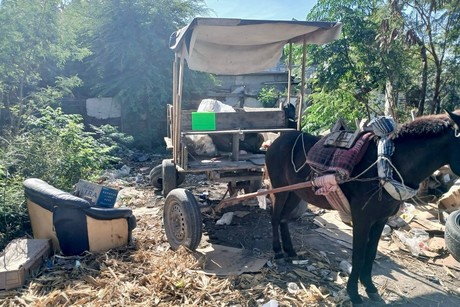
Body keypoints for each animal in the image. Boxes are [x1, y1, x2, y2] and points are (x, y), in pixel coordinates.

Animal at [264, 111, 460, 306]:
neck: (387, 164)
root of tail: (276, 141)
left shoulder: (381, 219)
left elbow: (371, 253)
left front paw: (370, 287)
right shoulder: (362, 218)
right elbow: (358, 255)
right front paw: (354, 293)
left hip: (295, 193)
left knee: (283, 219)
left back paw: (290, 251)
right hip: (280, 190)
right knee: (275, 218)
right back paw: (278, 252)